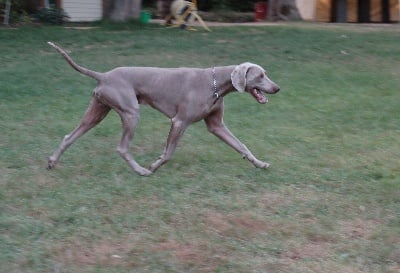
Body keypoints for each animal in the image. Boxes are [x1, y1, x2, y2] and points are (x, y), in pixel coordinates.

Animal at [47, 41, 280, 175]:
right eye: (260, 76)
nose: (277, 88)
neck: (214, 84)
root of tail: (103, 75)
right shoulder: (179, 122)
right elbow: (168, 154)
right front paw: (153, 165)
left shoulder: (217, 125)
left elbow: (242, 146)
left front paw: (260, 164)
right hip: (131, 113)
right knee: (122, 148)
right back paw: (141, 171)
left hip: (97, 112)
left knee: (69, 136)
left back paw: (51, 162)